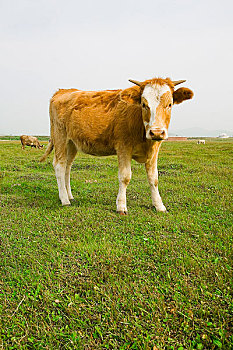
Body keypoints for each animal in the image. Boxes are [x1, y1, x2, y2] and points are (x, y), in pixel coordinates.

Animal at [39, 77, 193, 213]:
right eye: (144, 104)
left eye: (170, 104)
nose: (156, 132)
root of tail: (63, 91)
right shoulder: (123, 147)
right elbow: (125, 177)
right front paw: (121, 206)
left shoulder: (154, 150)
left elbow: (154, 178)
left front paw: (159, 206)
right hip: (60, 136)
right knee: (59, 165)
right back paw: (64, 199)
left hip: (71, 143)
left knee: (67, 166)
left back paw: (69, 195)